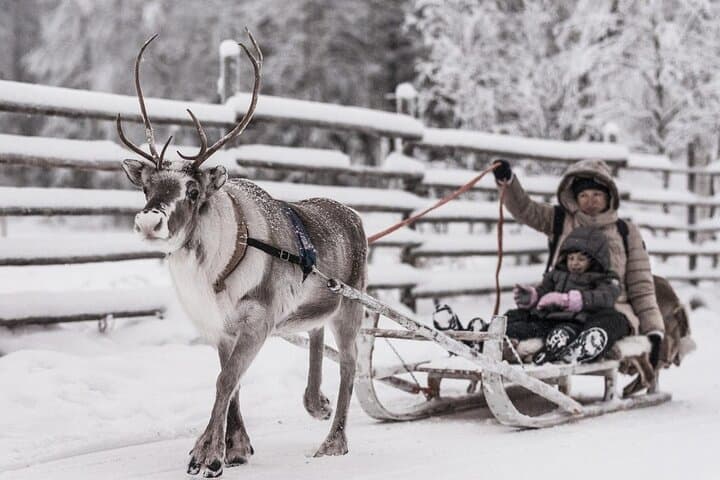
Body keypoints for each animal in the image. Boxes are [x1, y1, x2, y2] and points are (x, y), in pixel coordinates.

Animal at [117, 32, 367, 478]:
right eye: (146, 188)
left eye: (192, 191)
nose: (148, 221)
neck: (214, 270)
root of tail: (354, 216)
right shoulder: (221, 327)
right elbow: (230, 382)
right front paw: (235, 447)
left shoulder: (258, 320)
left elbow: (225, 381)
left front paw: (207, 454)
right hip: (318, 301)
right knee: (316, 331)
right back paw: (315, 402)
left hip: (351, 305)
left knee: (350, 363)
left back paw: (334, 440)